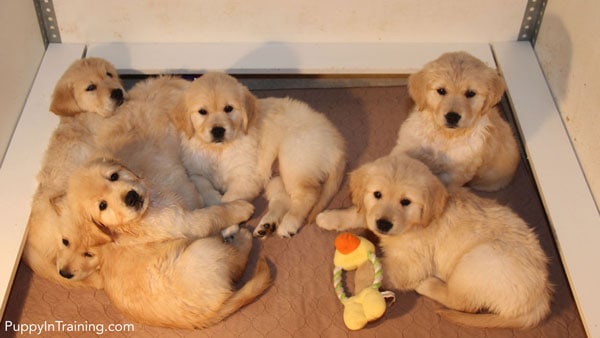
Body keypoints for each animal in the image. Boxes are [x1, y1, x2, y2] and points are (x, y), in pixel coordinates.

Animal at [58, 159, 270, 330]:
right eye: (102, 205)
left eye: (114, 176)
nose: (131, 197)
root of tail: (208, 316)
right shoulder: (185, 222)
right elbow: (215, 213)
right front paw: (240, 207)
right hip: (204, 251)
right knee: (238, 264)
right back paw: (243, 238)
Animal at [169, 72, 346, 238]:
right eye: (202, 112)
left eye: (228, 108)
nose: (218, 130)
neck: (219, 150)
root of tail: (337, 141)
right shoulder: (195, 173)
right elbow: (206, 190)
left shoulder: (246, 177)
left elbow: (229, 198)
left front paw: (229, 223)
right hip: (276, 175)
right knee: (283, 199)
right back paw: (267, 225)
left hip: (294, 159)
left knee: (308, 194)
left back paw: (289, 224)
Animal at [316, 155, 552, 328]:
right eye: (377, 194)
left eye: (405, 202)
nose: (383, 224)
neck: (416, 223)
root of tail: (541, 296)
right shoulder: (373, 216)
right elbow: (361, 214)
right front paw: (328, 217)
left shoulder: (412, 264)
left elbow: (369, 267)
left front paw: (361, 291)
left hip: (478, 259)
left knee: (464, 303)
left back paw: (428, 285)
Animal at [394, 51, 520, 191]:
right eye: (441, 90)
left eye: (470, 93)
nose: (452, 117)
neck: (445, 136)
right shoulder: (406, 145)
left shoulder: (455, 174)